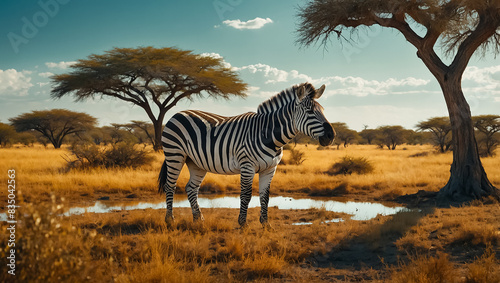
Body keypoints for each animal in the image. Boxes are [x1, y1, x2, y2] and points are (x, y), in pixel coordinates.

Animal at [158, 82, 334, 229]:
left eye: (323, 111)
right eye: (310, 111)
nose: (331, 136)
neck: (269, 135)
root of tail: (177, 114)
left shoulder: (270, 169)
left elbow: (265, 196)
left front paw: (266, 224)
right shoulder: (247, 166)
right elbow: (246, 195)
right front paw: (243, 224)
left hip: (196, 162)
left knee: (191, 188)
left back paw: (198, 219)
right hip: (175, 154)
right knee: (170, 185)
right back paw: (170, 220)